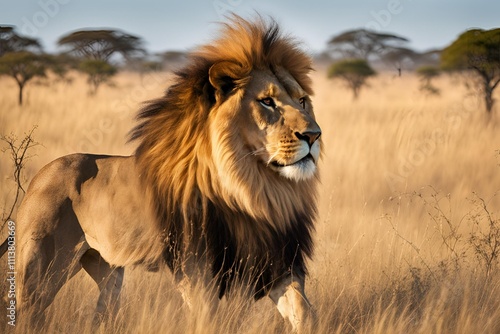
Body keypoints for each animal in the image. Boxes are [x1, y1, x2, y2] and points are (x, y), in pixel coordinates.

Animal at [0, 15, 320, 332]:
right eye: (267, 101)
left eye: (302, 101)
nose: (314, 135)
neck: (256, 189)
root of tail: (39, 177)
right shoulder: (196, 272)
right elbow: (208, 321)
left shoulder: (279, 261)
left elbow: (305, 313)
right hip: (43, 270)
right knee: (29, 313)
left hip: (107, 269)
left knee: (103, 313)